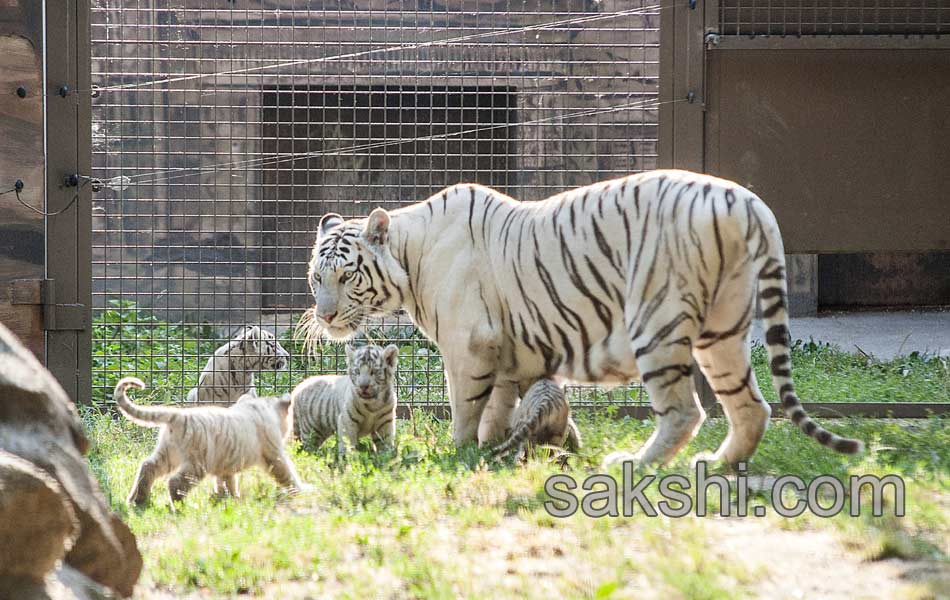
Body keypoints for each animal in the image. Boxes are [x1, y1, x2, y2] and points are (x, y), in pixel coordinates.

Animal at [115, 378, 304, 504]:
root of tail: (178, 415)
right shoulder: (274, 455)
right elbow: (287, 474)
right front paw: (302, 491)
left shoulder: (226, 463)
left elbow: (227, 482)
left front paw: (231, 498)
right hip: (198, 463)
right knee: (174, 482)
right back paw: (178, 506)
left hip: (168, 454)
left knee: (148, 466)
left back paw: (138, 500)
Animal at [304, 170, 864, 468]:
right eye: (315, 276)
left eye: (347, 276)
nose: (324, 315)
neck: (409, 253)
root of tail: (744, 199)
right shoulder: (508, 353)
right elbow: (501, 410)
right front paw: (493, 450)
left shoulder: (469, 346)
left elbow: (466, 408)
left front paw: (458, 452)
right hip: (722, 331)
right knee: (751, 406)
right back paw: (718, 466)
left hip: (657, 324)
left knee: (686, 412)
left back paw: (636, 465)